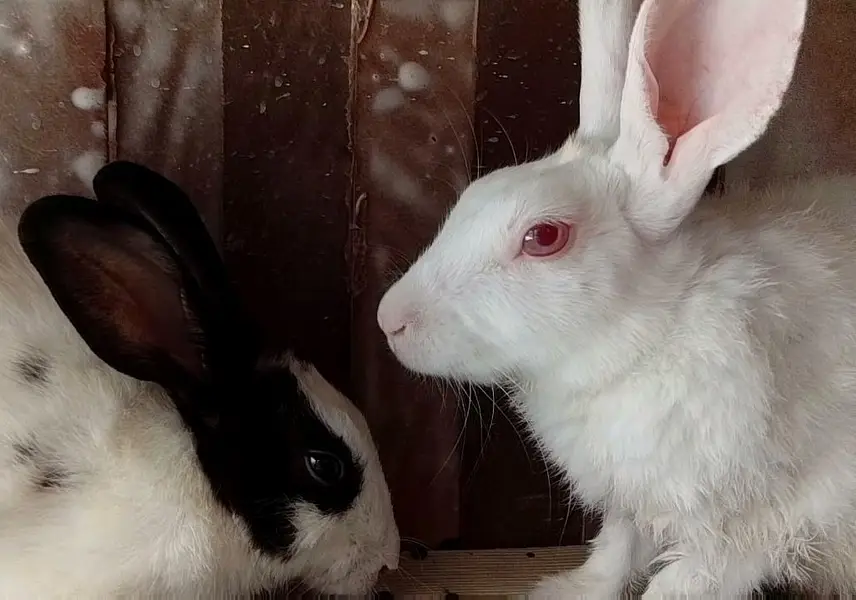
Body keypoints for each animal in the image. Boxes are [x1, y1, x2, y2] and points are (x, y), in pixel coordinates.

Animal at [374, 0, 856, 596]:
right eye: (473, 195)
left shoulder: (748, 531)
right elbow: (616, 551)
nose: (390, 320)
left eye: (544, 237)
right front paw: (564, 590)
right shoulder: (630, 504)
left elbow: (678, 583)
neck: (646, 343)